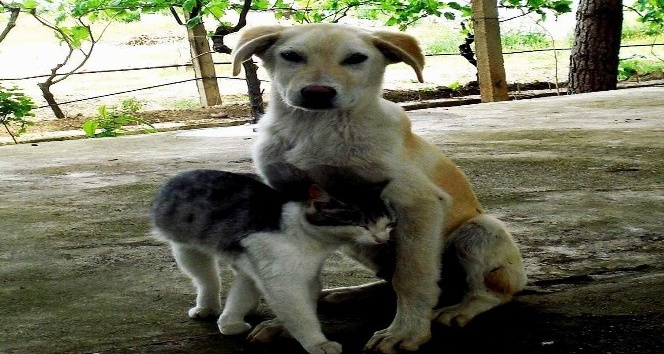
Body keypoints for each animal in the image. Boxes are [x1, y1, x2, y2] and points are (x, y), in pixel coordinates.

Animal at [152, 163, 394, 354]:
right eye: (362, 225)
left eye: (388, 224)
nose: (382, 238)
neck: (308, 238)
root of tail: (184, 173)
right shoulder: (281, 278)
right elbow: (300, 314)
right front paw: (318, 343)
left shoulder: (289, 271)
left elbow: (248, 293)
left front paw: (230, 323)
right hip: (187, 248)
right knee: (206, 278)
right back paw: (207, 307)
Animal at [231, 23, 528, 352]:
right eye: (291, 56)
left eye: (356, 59)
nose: (317, 93)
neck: (315, 128)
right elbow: (304, 276)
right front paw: (287, 324)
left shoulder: (417, 202)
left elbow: (411, 276)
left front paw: (405, 333)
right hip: (357, 240)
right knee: (388, 278)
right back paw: (348, 293)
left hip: (480, 232)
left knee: (488, 290)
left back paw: (459, 309)